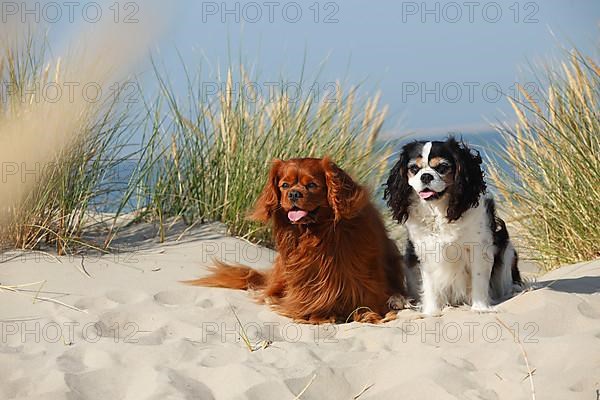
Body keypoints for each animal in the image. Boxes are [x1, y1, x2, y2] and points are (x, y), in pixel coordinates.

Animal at [185, 158, 406, 324]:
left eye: (312, 185)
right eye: (284, 185)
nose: (293, 193)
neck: (318, 232)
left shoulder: (363, 272)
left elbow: (367, 295)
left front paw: (369, 313)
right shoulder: (306, 273)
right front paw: (317, 316)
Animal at [384, 138, 520, 316]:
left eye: (442, 167)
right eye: (414, 169)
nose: (426, 176)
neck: (438, 210)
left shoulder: (479, 248)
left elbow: (479, 279)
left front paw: (480, 308)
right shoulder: (425, 251)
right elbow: (429, 284)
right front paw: (431, 312)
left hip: (507, 252)